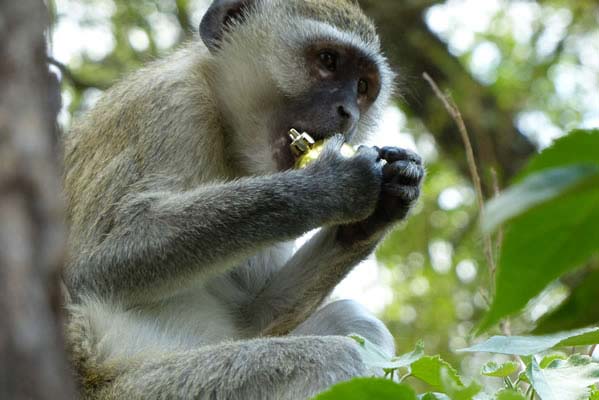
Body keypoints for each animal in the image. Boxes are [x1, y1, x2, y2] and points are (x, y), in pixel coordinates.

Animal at [63, 0, 424, 400]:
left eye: (362, 86)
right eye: (328, 61)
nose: (349, 113)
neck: (226, 132)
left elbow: (252, 319)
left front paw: (386, 202)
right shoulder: (170, 106)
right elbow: (93, 268)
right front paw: (329, 185)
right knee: (334, 357)